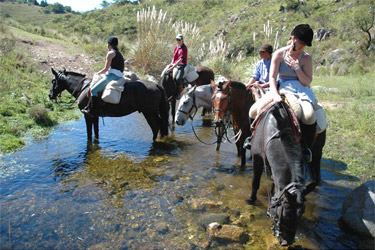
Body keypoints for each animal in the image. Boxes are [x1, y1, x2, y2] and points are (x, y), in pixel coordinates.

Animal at [250, 100, 320, 246]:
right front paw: (251, 201)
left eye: (302, 213)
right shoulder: (257, 158)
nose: (287, 242)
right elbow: (255, 183)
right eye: (283, 213)